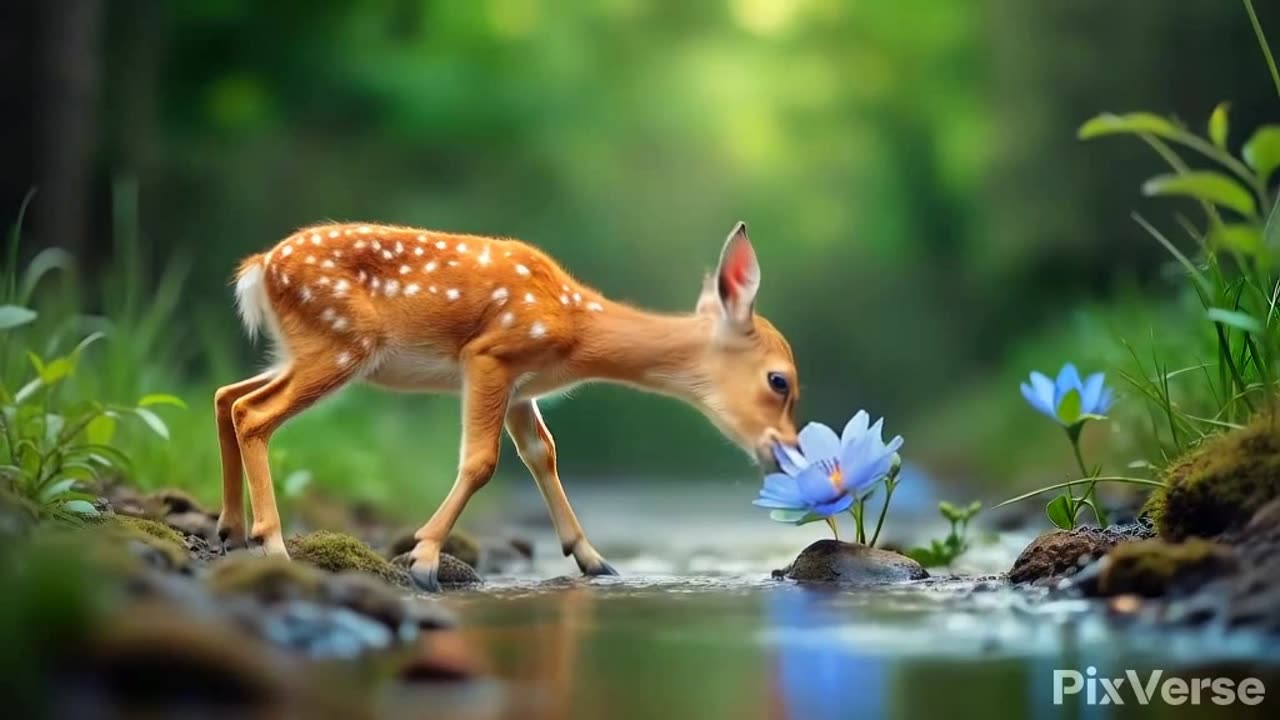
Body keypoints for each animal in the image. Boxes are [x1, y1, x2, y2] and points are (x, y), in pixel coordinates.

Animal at [220, 220, 798, 589]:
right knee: (253, 413)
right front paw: (424, 559)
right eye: (780, 381)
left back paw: (229, 530)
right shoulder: (490, 355)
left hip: (301, 350)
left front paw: (594, 561)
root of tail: (259, 268)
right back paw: (271, 545)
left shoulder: (523, 390)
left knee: (228, 396)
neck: (574, 327)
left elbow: (543, 454)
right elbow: (481, 461)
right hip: (340, 343)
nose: (786, 453)